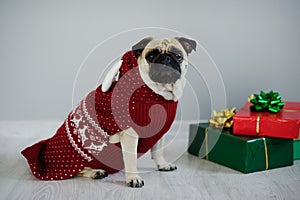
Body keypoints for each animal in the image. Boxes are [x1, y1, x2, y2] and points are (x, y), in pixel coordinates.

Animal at [22, 36, 197, 188]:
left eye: (178, 56)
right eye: (152, 55)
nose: (166, 59)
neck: (158, 95)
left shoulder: (159, 131)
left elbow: (158, 151)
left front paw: (163, 165)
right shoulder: (130, 134)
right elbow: (131, 159)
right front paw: (133, 178)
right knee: (76, 171)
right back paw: (96, 172)